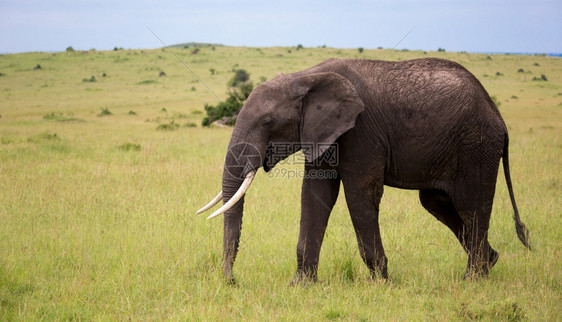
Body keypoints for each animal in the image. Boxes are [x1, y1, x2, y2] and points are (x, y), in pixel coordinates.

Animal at [198, 57, 528, 284]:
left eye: (267, 122)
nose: (232, 281)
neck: (305, 76)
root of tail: (497, 115)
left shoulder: (361, 131)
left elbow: (360, 194)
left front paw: (381, 282)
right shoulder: (322, 133)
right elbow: (315, 195)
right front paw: (301, 285)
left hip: (476, 146)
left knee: (471, 206)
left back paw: (472, 279)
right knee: (437, 202)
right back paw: (490, 263)